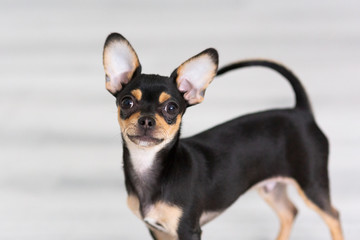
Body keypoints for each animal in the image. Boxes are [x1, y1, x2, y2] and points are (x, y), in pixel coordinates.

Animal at [101, 32, 344, 240]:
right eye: (127, 102)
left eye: (171, 108)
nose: (147, 120)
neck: (150, 168)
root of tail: (301, 111)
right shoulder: (157, 230)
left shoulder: (188, 229)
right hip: (272, 187)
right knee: (290, 212)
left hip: (312, 184)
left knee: (333, 216)